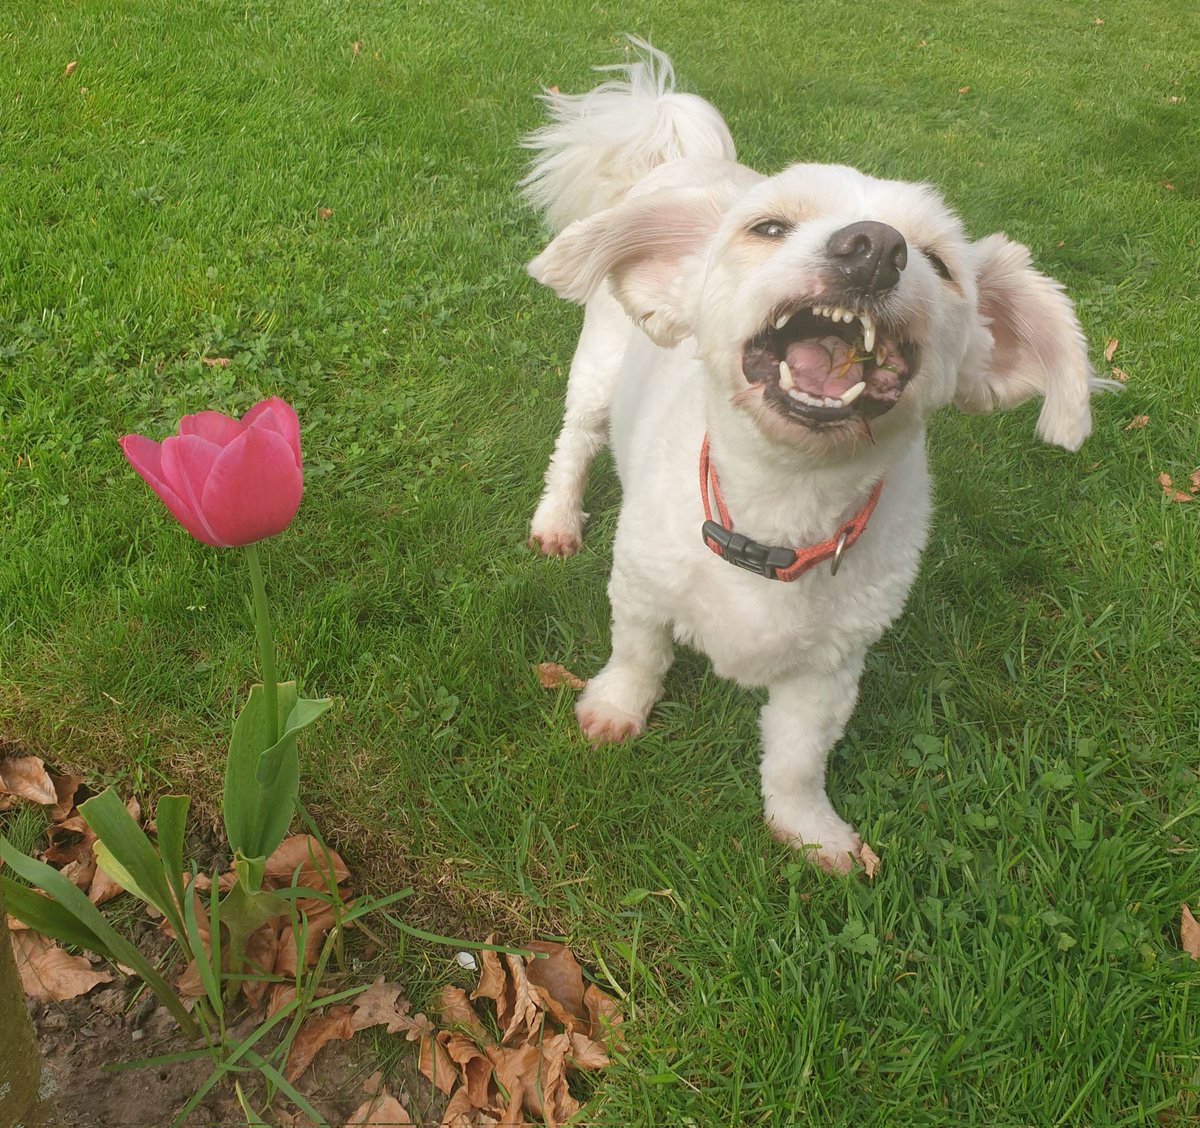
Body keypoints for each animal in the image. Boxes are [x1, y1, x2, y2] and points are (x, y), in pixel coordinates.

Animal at [520, 44, 1108, 873]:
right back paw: (557, 517)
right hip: (599, 373)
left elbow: (798, 759)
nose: (875, 248)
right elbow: (638, 657)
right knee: (574, 441)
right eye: (767, 227)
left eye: (938, 262)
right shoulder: (639, 588)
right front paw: (613, 708)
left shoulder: (832, 669)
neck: (780, 505)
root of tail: (690, 162)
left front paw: (809, 830)